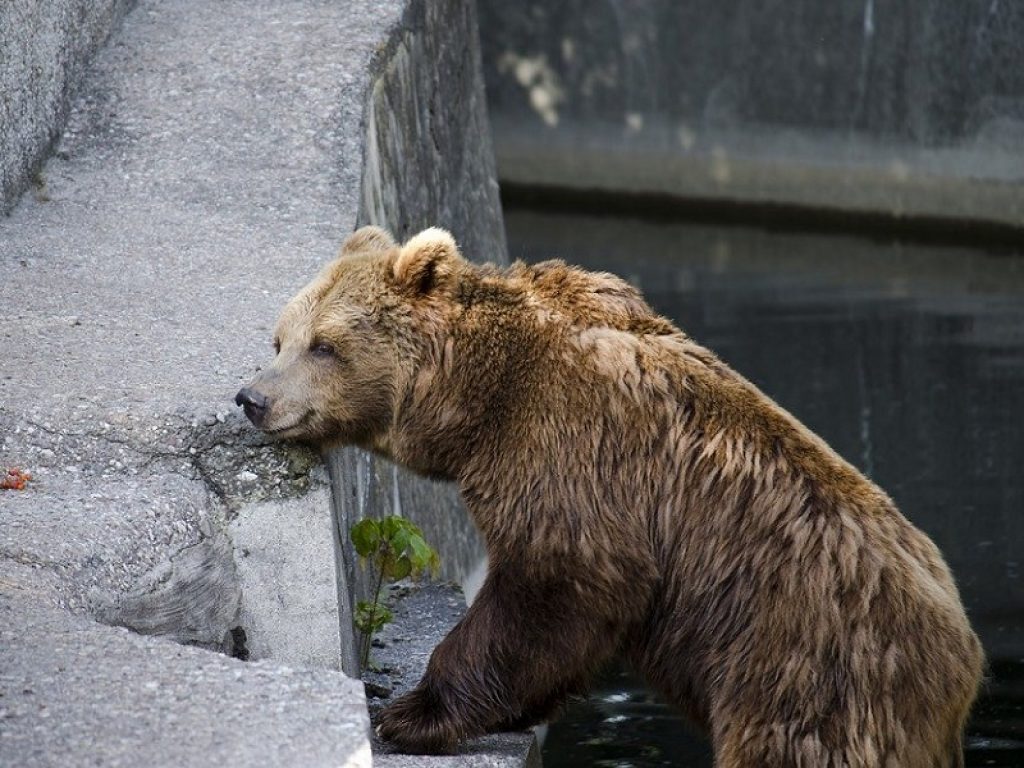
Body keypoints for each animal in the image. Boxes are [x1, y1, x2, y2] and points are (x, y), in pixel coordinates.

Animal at [236, 226, 984, 766]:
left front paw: (408, 712)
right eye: (279, 339)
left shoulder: (575, 455)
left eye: (324, 346)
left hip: (807, 672)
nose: (252, 398)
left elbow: (556, 588)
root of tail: (964, 662)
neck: (481, 403)